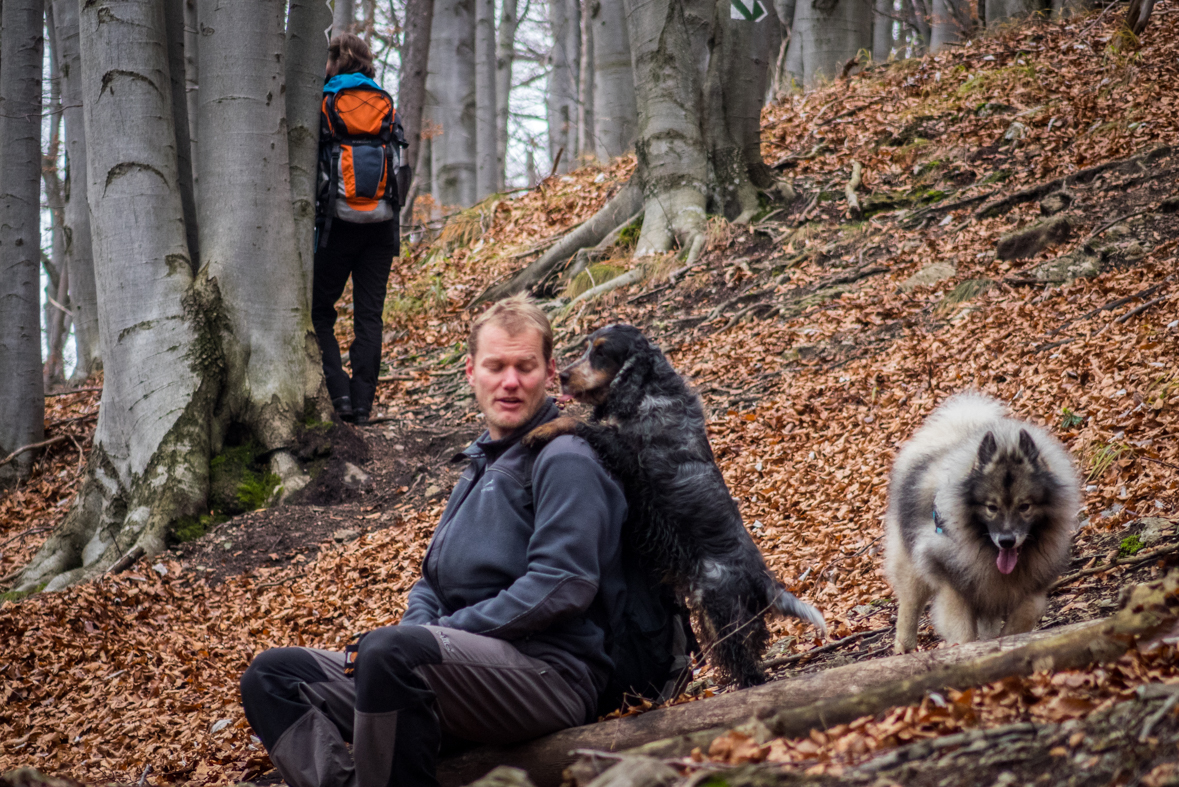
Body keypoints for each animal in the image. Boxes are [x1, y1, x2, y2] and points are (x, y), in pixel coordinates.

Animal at [525, 322, 830, 683]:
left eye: (601, 352)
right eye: (587, 347)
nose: (562, 376)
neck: (648, 392)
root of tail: (762, 579)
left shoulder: (626, 454)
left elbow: (579, 423)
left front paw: (541, 430)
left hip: (719, 609)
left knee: (744, 661)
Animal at [886, 391, 1079, 655]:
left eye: (1024, 506)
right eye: (991, 507)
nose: (1006, 541)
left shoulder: (1031, 587)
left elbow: (1027, 612)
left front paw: (1006, 641)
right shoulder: (952, 580)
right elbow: (963, 631)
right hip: (911, 566)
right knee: (909, 606)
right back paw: (904, 648)